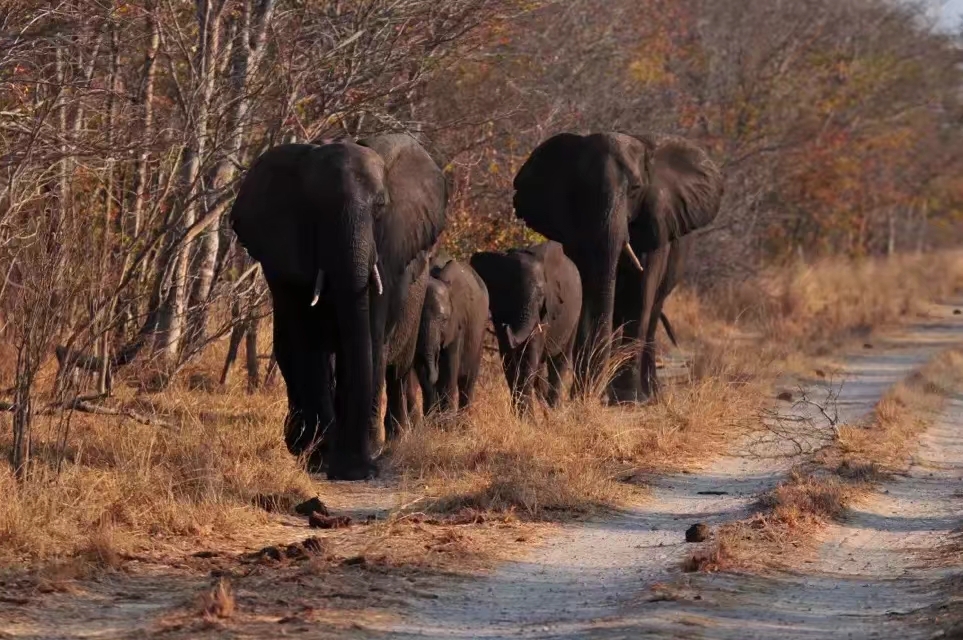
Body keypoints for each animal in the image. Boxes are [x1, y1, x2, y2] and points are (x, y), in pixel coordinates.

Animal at [230, 132, 448, 480]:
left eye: (380, 208)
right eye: (314, 209)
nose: (359, 471)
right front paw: (321, 458)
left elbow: (369, 338)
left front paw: (357, 460)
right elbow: (307, 342)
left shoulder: (387, 257)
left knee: (395, 369)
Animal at [412, 258, 490, 416]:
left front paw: (446, 421)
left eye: (444, 319)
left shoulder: (457, 322)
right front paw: (432, 418)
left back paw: (464, 421)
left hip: (480, 332)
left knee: (467, 382)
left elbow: (449, 367)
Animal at [472, 240, 584, 416]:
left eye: (541, 297)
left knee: (559, 361)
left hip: (574, 316)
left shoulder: (545, 311)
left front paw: (527, 419)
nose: (506, 326)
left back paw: (553, 411)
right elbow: (508, 360)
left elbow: (530, 355)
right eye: (508, 294)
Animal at [512, 132, 724, 402]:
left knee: (651, 314)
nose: (583, 393)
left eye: (635, 190)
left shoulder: (654, 222)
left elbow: (641, 293)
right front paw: (586, 395)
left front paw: (627, 399)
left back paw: (649, 394)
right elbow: (588, 291)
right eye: (580, 191)